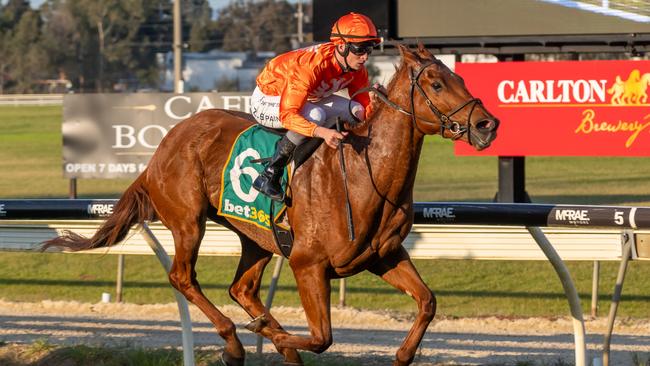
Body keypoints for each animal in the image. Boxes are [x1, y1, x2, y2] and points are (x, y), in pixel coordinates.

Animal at [41, 45, 496, 366]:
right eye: (436, 84)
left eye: (458, 76)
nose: (486, 124)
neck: (363, 174)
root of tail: (163, 147)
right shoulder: (308, 264)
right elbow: (322, 337)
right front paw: (272, 336)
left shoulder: (383, 255)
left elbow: (427, 302)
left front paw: (402, 355)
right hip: (188, 221)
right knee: (182, 277)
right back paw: (236, 342)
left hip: (256, 237)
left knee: (241, 287)